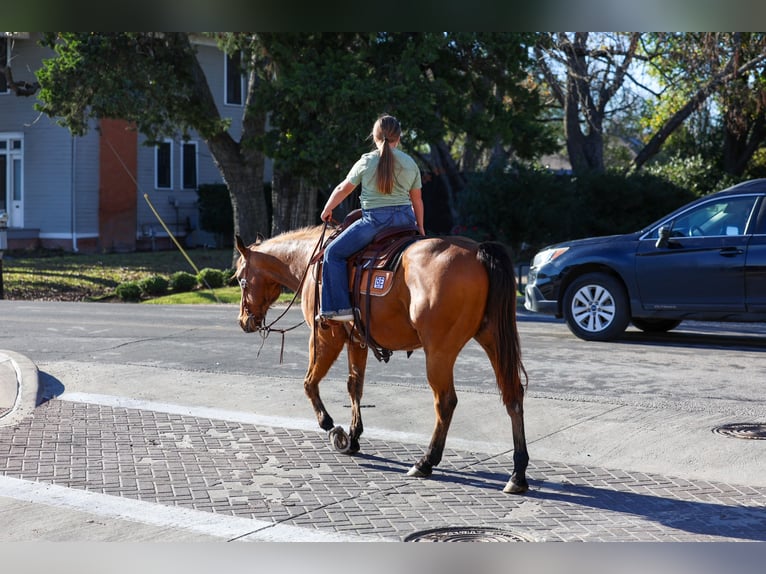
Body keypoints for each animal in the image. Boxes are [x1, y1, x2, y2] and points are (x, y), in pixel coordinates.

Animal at [234, 224, 530, 494]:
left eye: (239, 278)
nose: (244, 321)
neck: (310, 260)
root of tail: (478, 251)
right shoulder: (357, 341)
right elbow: (354, 386)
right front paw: (353, 436)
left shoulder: (324, 337)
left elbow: (309, 383)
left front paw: (332, 428)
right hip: (493, 340)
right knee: (513, 396)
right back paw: (518, 473)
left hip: (439, 352)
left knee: (446, 402)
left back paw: (426, 461)